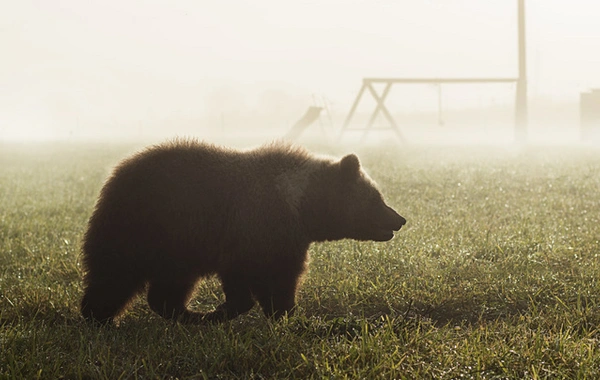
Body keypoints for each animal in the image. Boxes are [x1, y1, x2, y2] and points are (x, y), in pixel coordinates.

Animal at [79, 140, 406, 324]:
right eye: (376, 198)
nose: (399, 219)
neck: (302, 206)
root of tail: (116, 174)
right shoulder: (260, 228)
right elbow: (273, 278)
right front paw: (283, 313)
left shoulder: (264, 238)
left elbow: (259, 277)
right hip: (145, 228)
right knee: (114, 275)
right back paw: (100, 317)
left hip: (175, 247)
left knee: (164, 287)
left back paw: (185, 315)